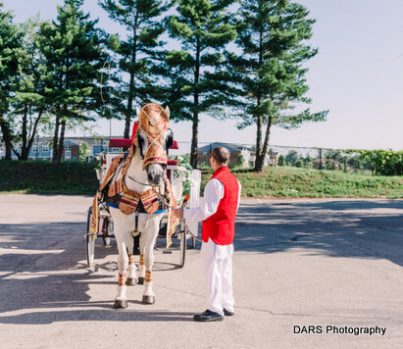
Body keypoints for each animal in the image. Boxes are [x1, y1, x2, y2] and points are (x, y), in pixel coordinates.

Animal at [106, 104, 173, 308]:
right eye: (141, 138)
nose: (156, 175)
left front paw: (148, 293)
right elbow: (123, 258)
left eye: (169, 138)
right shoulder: (120, 228)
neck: (140, 189)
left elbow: (150, 258)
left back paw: (141, 275)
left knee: (142, 250)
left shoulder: (152, 227)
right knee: (131, 251)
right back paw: (132, 276)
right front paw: (120, 297)